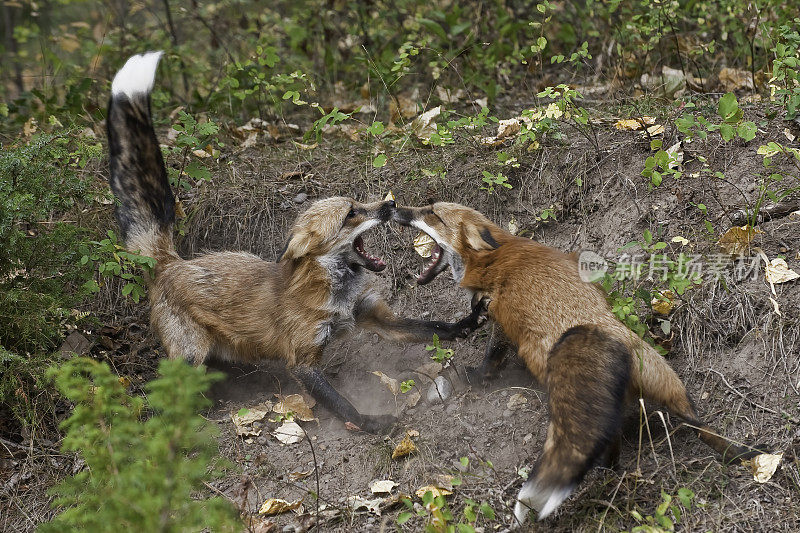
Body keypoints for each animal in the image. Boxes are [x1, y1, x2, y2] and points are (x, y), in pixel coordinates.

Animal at [103, 54, 484, 434]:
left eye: (359, 203)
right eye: (351, 214)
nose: (390, 205)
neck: (338, 294)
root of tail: (172, 262)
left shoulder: (376, 319)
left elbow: (430, 328)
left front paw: (465, 325)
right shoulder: (302, 360)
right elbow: (342, 405)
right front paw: (371, 423)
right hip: (190, 356)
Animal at [394, 202, 768, 520]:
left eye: (431, 213)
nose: (393, 208)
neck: (494, 256)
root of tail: (614, 342)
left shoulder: (499, 316)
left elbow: (491, 357)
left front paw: (477, 377)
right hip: (668, 381)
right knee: (695, 424)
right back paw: (738, 453)